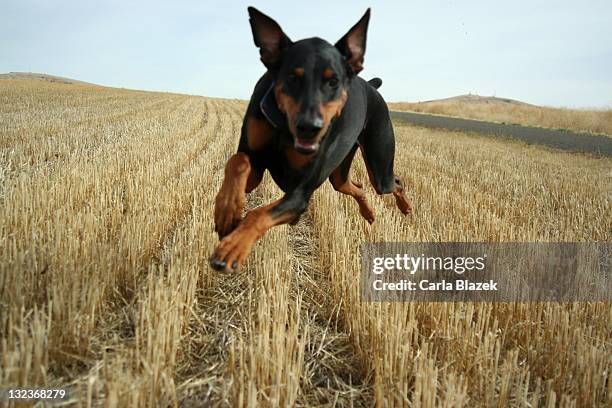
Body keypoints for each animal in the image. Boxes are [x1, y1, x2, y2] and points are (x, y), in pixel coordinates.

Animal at [209, 7, 412, 270]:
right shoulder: (255, 164)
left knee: (394, 182)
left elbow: (258, 214)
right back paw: (369, 213)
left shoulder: (300, 193)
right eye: (293, 77)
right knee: (356, 187)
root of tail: (371, 86)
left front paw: (232, 249)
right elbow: (238, 161)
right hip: (339, 173)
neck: (285, 127)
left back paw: (405, 207)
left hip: (379, 164)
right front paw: (227, 211)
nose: (309, 128)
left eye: (333, 81)